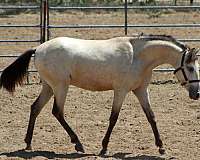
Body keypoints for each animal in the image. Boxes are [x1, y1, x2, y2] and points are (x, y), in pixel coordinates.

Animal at [0, 34, 200, 155]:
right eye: (190, 68)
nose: (196, 93)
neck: (138, 57)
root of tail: (39, 48)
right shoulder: (121, 90)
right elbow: (113, 117)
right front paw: (104, 148)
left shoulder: (141, 90)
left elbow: (151, 116)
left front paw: (161, 147)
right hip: (60, 86)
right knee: (57, 111)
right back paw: (78, 144)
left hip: (49, 87)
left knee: (35, 108)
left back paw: (28, 143)